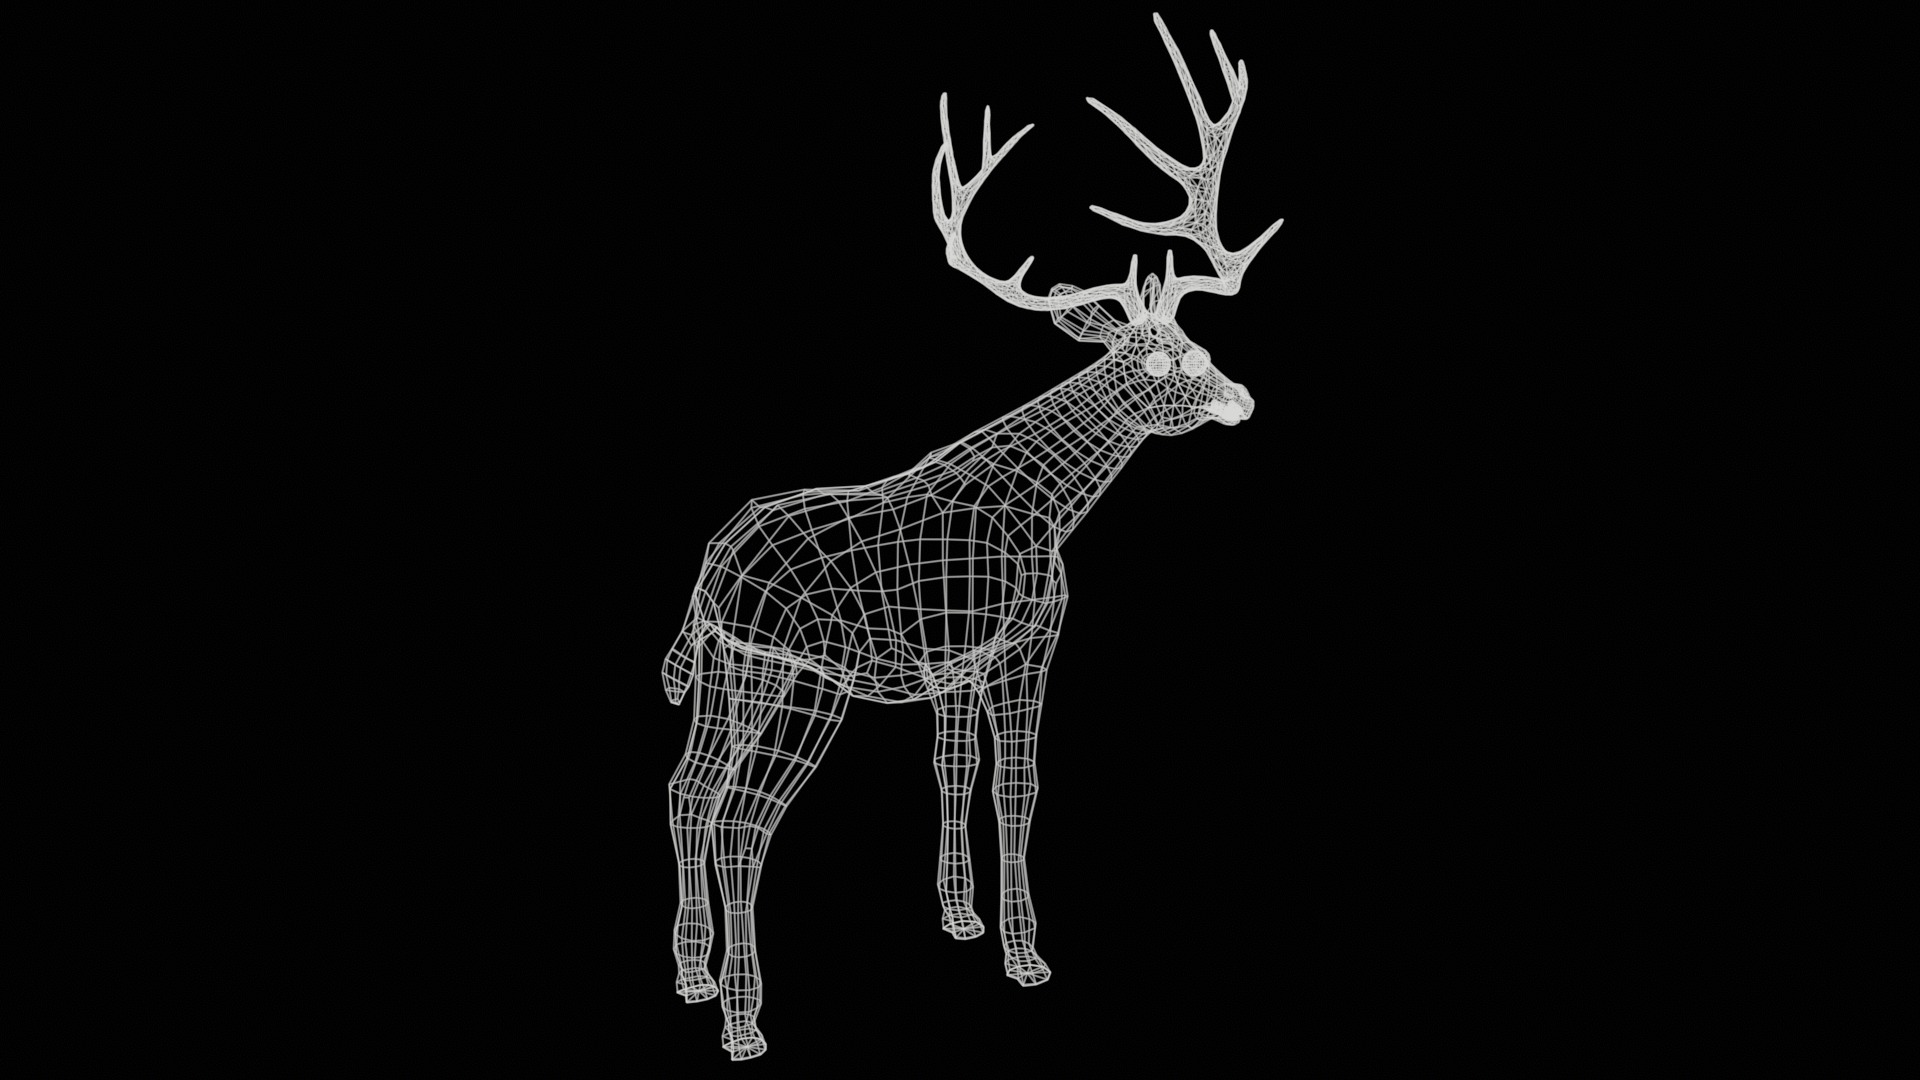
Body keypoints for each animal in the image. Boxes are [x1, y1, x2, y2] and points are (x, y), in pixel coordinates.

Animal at [662, 14, 1281, 1060]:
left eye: (1198, 344)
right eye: (1168, 359)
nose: (1240, 398)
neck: (1046, 506)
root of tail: (711, 577)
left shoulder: (954, 661)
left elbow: (955, 769)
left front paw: (960, 918)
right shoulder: (1030, 640)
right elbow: (1019, 785)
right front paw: (1026, 957)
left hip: (729, 670)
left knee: (688, 789)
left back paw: (692, 976)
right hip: (805, 673)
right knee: (745, 817)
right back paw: (744, 1021)